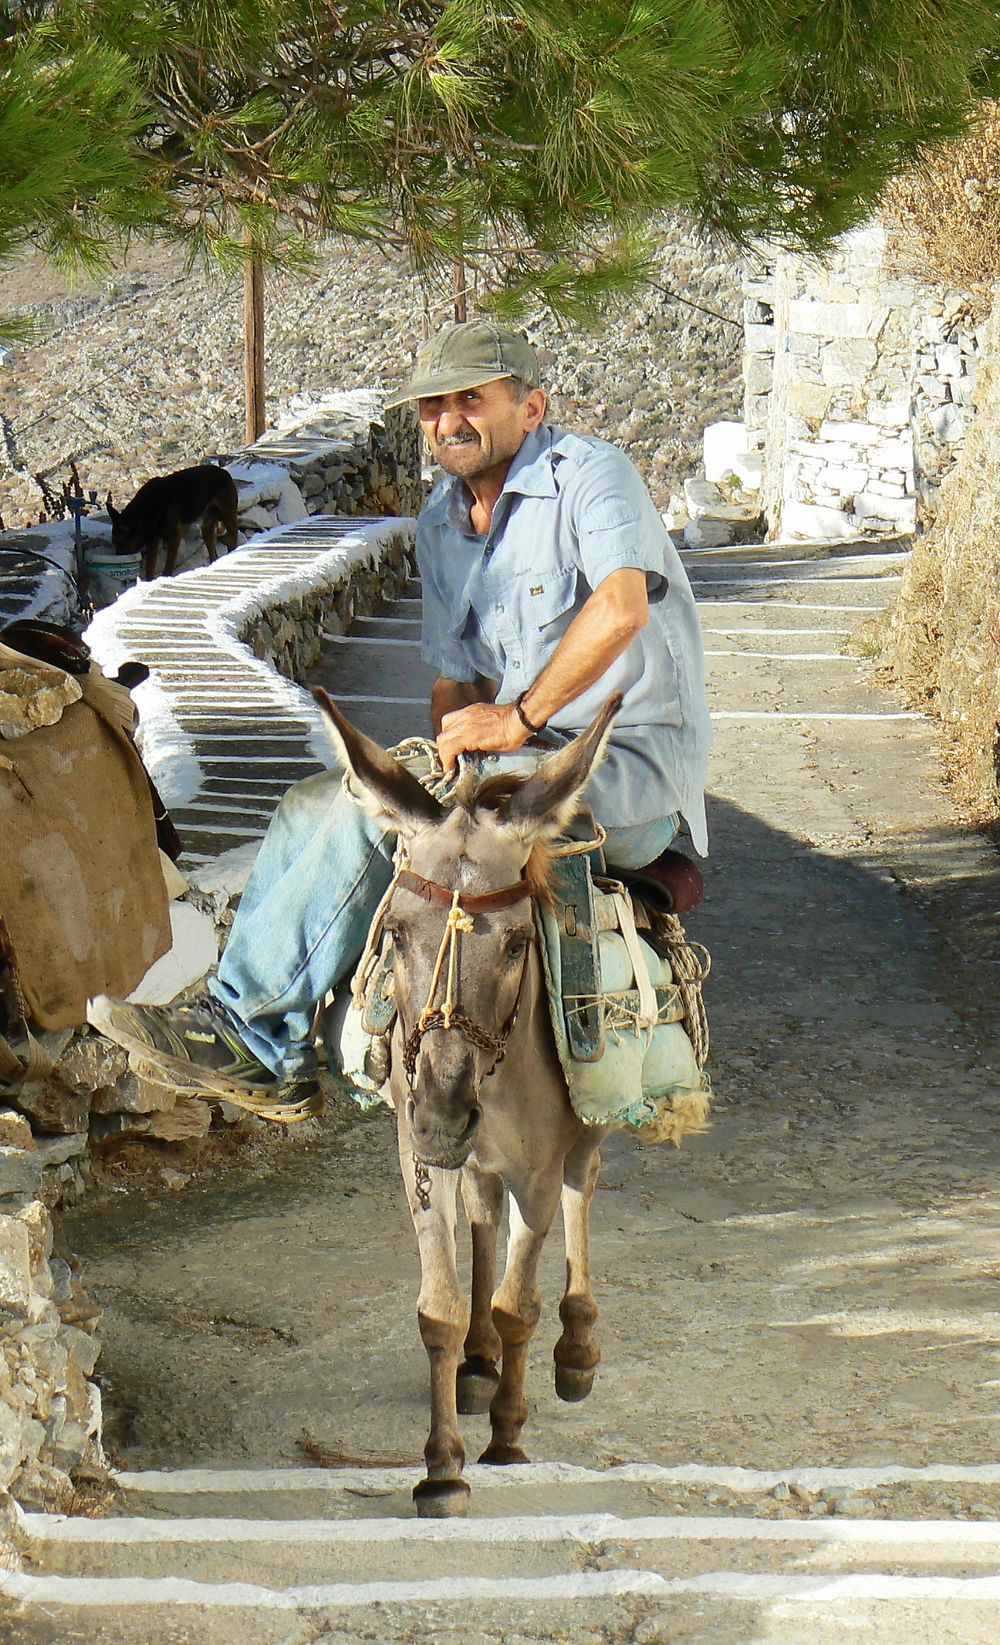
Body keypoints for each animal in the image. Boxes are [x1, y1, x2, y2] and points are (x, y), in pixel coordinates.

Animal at [108, 463, 241, 585]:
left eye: (122, 542)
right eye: (113, 542)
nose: (118, 559)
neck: (147, 509)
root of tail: (225, 472)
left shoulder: (173, 538)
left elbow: (168, 567)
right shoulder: (153, 541)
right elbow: (150, 568)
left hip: (228, 517)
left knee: (233, 539)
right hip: (207, 527)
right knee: (213, 551)